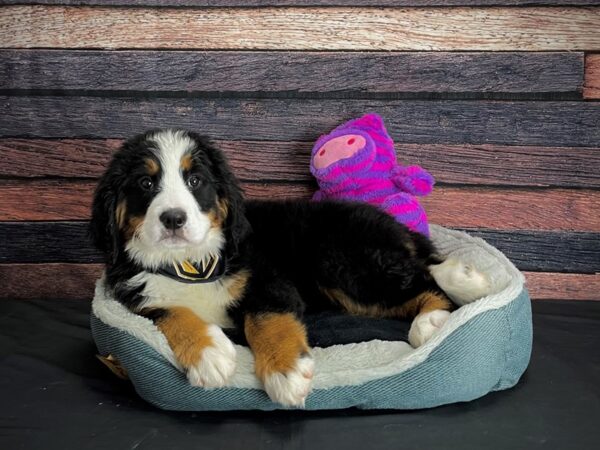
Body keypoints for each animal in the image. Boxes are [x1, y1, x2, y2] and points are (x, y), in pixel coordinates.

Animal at [90, 128, 464, 406]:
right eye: (145, 183)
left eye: (195, 181)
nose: (172, 218)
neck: (189, 264)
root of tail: (398, 227)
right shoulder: (138, 295)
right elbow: (171, 312)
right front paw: (208, 354)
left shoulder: (269, 281)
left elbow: (267, 320)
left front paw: (285, 372)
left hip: (343, 261)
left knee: (427, 281)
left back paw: (433, 317)